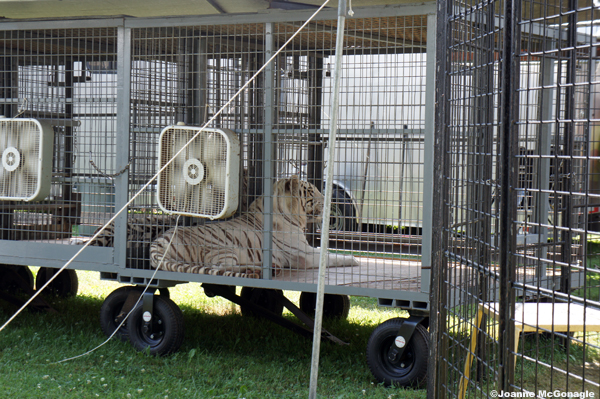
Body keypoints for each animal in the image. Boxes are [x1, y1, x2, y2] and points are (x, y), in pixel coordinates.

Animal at [150, 177, 358, 280]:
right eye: (311, 192)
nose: (329, 201)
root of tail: (157, 243)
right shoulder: (303, 254)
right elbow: (330, 256)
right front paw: (354, 259)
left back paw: (269, 268)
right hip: (223, 249)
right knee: (221, 267)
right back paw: (260, 270)